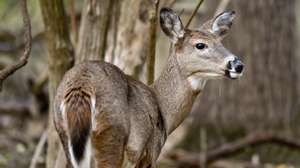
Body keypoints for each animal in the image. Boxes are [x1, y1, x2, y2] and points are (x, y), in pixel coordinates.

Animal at [54, 7, 244, 168]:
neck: (164, 112)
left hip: (65, 138)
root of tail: (81, 85)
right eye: (200, 45)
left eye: (221, 43)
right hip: (112, 134)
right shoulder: (148, 154)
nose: (238, 65)